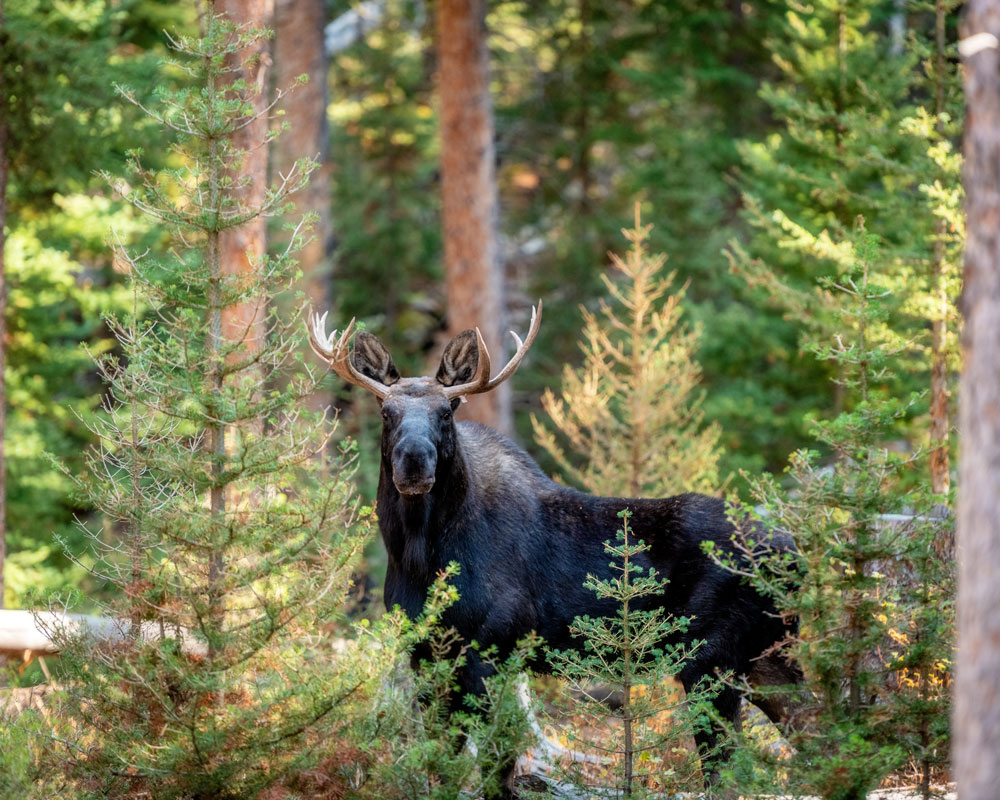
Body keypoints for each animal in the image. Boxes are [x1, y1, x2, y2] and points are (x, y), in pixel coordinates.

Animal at [308, 304, 800, 792]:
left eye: (447, 410)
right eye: (386, 411)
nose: (413, 460)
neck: (418, 557)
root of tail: (795, 550)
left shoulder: (493, 648)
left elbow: (496, 764)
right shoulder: (424, 653)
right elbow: (442, 760)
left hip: (710, 658)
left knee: (729, 768)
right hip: (766, 655)